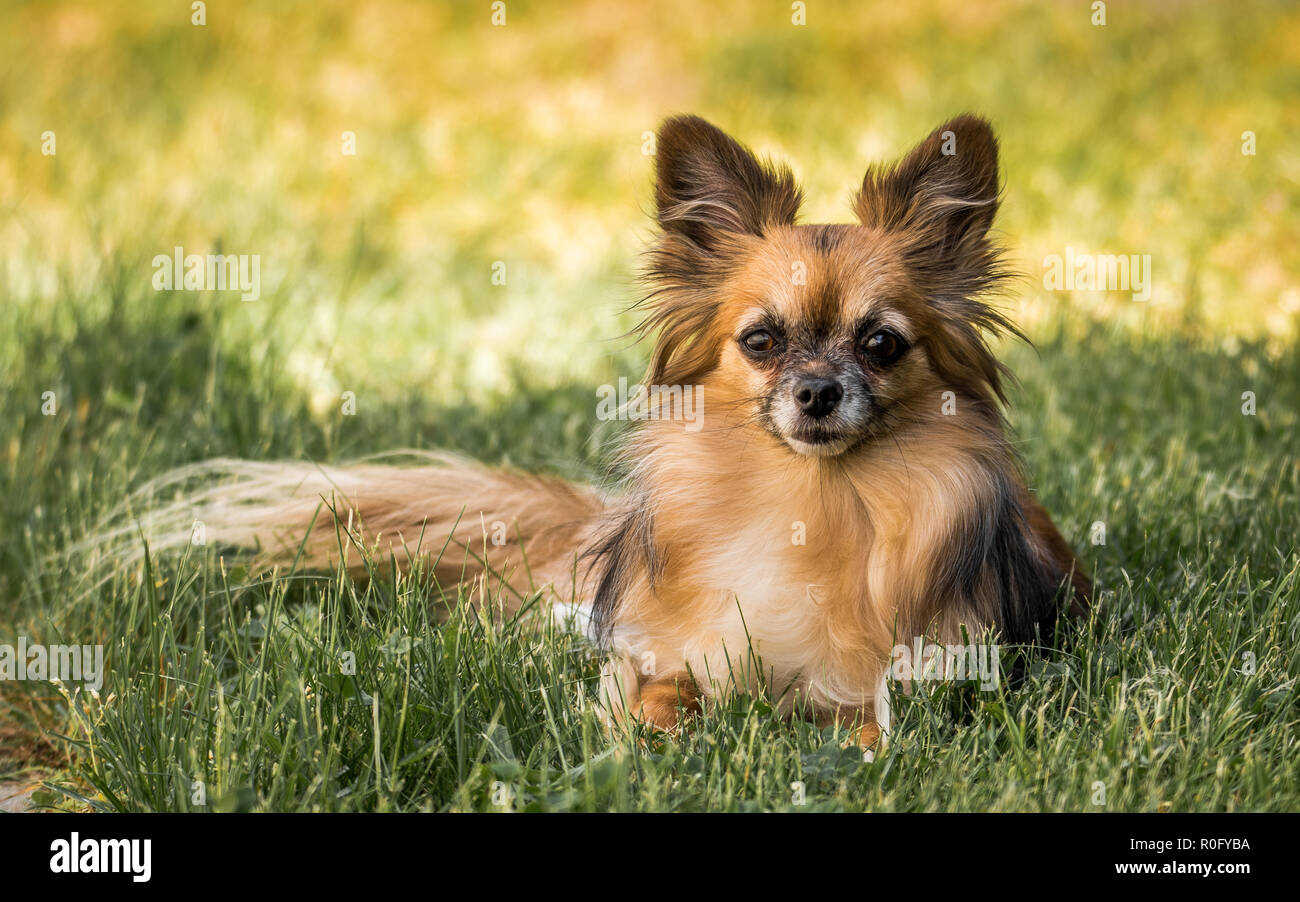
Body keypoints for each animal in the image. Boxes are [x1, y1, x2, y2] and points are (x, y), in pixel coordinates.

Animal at [114, 113, 1086, 748]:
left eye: (881, 344)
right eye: (762, 342)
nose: (816, 392)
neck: (809, 501)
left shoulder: (924, 680)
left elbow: (873, 727)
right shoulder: (669, 651)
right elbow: (655, 690)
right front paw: (645, 736)